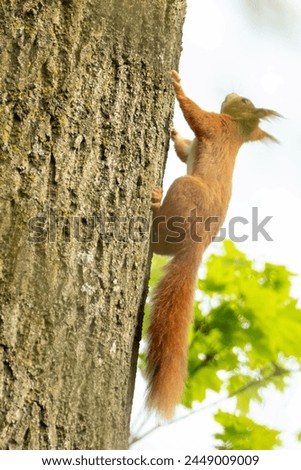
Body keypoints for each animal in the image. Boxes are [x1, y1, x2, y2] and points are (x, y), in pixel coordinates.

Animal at [145, 70, 278, 418]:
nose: (232, 92)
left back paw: (155, 203)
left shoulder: (215, 126)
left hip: (185, 190)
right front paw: (174, 132)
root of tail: (197, 246)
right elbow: (184, 149)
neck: (238, 130)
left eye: (244, 100)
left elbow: (196, 117)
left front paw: (178, 87)